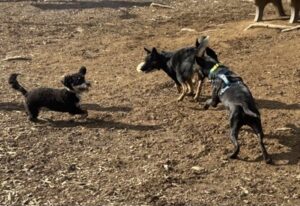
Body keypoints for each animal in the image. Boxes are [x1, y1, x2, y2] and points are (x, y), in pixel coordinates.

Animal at [196, 35, 274, 164]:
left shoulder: (214, 100)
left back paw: (232, 155)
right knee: (260, 141)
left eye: (198, 69)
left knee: (238, 145)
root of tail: (244, 106)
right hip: (257, 127)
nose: (198, 77)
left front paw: (204, 106)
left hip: (233, 129)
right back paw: (267, 158)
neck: (218, 71)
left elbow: (209, 101)